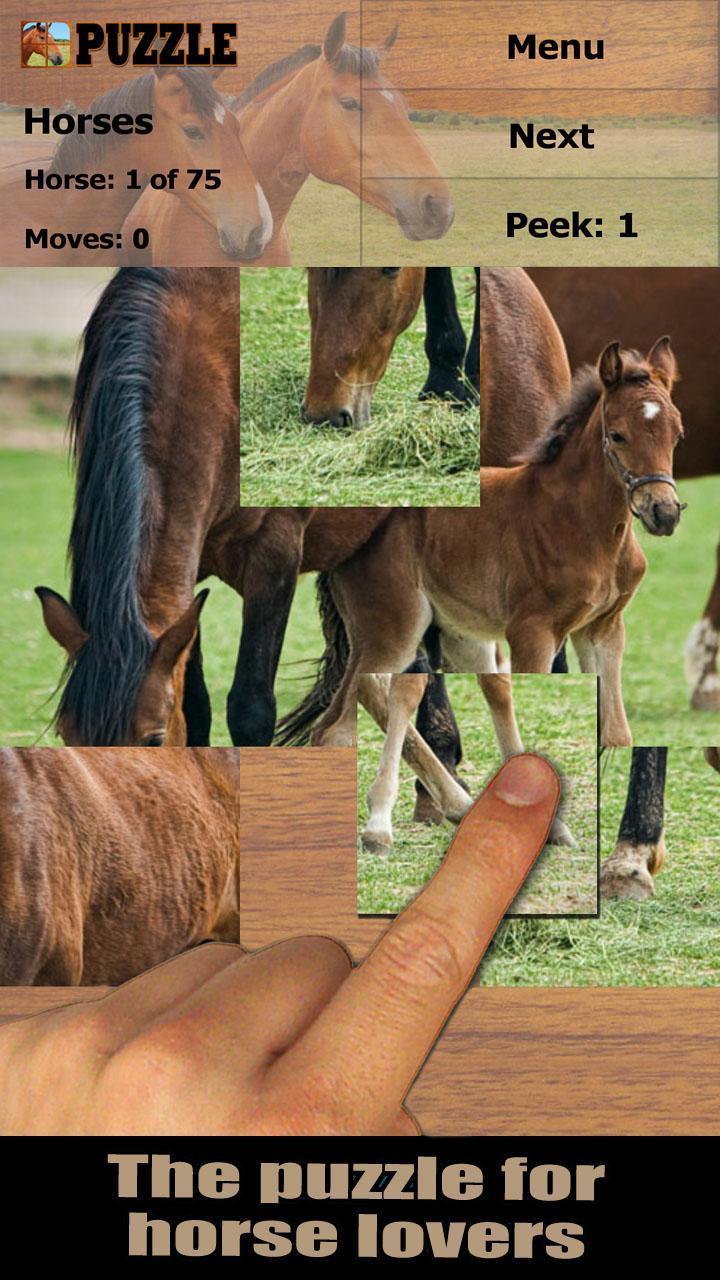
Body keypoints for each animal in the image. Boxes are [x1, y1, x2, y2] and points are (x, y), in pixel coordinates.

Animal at [279, 339, 684, 750]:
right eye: (618, 435)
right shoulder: (531, 632)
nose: (663, 512)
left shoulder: (603, 629)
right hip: (392, 631)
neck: (584, 525)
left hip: (461, 637)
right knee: (335, 728)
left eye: (677, 435)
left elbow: (617, 733)